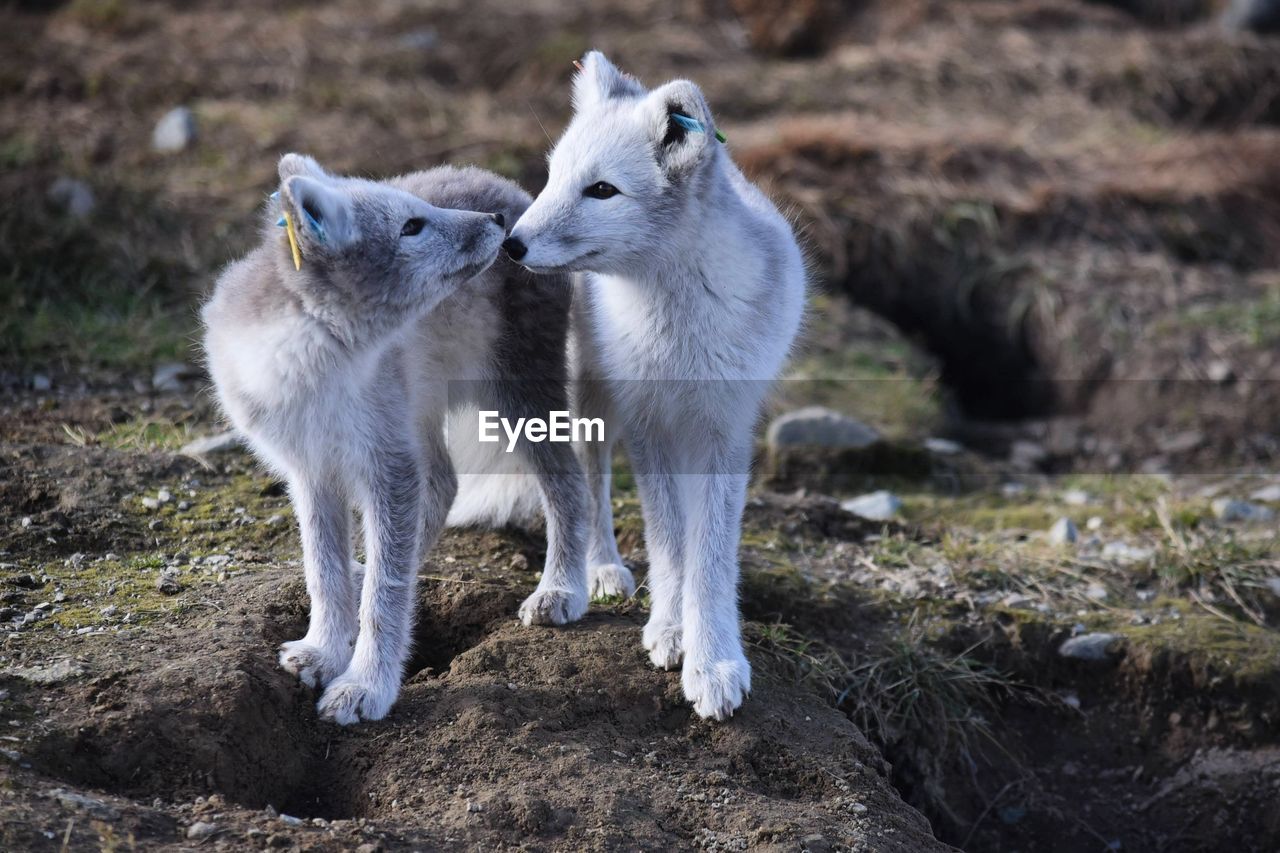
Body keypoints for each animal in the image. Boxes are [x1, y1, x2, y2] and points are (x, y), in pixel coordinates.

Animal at [203, 154, 588, 722]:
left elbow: (386, 593)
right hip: (416, 413)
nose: (498, 224)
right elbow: (324, 570)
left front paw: (364, 685)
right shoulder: (312, 470)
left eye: (418, 214)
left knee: (568, 482)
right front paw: (323, 650)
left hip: (519, 394)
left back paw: (562, 588)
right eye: (411, 227)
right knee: (444, 485)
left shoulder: (387, 466)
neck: (314, 365)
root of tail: (511, 188)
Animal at [501, 53, 808, 717]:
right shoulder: (649, 426)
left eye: (602, 190)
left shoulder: (723, 429)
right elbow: (669, 543)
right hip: (592, 399)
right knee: (590, 486)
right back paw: (597, 571)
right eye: (553, 177)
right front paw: (670, 630)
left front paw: (715, 659)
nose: (511, 243)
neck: (676, 325)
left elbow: (710, 553)